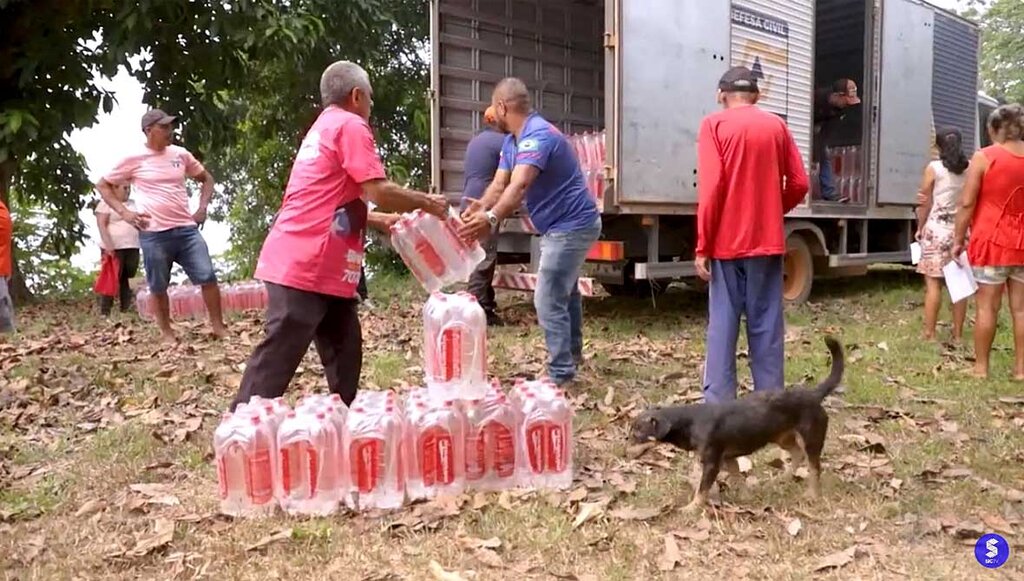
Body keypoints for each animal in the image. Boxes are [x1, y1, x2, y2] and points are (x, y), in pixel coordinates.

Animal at [630, 336, 839, 508]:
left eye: (638, 431)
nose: (627, 441)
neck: (689, 422)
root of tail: (814, 394)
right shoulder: (728, 458)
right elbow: (737, 478)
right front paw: (746, 496)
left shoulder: (712, 462)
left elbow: (702, 490)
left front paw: (691, 508)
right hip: (783, 437)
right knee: (797, 454)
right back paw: (783, 478)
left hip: (810, 438)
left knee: (814, 467)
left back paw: (812, 495)